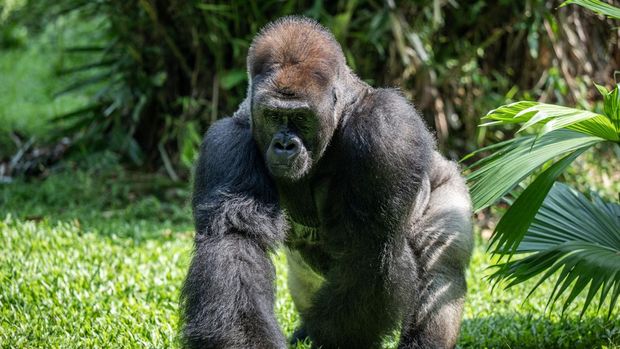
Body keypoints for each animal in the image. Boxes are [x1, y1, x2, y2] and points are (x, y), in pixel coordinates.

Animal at [182, 16, 472, 348]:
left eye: (301, 118)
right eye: (272, 115)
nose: (284, 145)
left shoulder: (387, 129)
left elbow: (369, 246)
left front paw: (331, 337)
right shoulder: (227, 142)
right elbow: (235, 240)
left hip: (448, 184)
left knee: (442, 267)